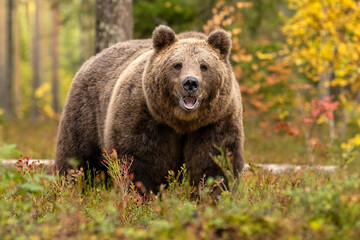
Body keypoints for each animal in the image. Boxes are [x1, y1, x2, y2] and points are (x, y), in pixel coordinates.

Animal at [54, 25, 245, 191]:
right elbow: (140, 165)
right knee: (76, 159)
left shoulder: (215, 122)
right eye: (177, 64)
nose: (190, 83)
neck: (183, 122)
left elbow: (215, 163)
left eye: (204, 66)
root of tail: (92, 59)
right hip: (86, 113)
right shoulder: (145, 118)